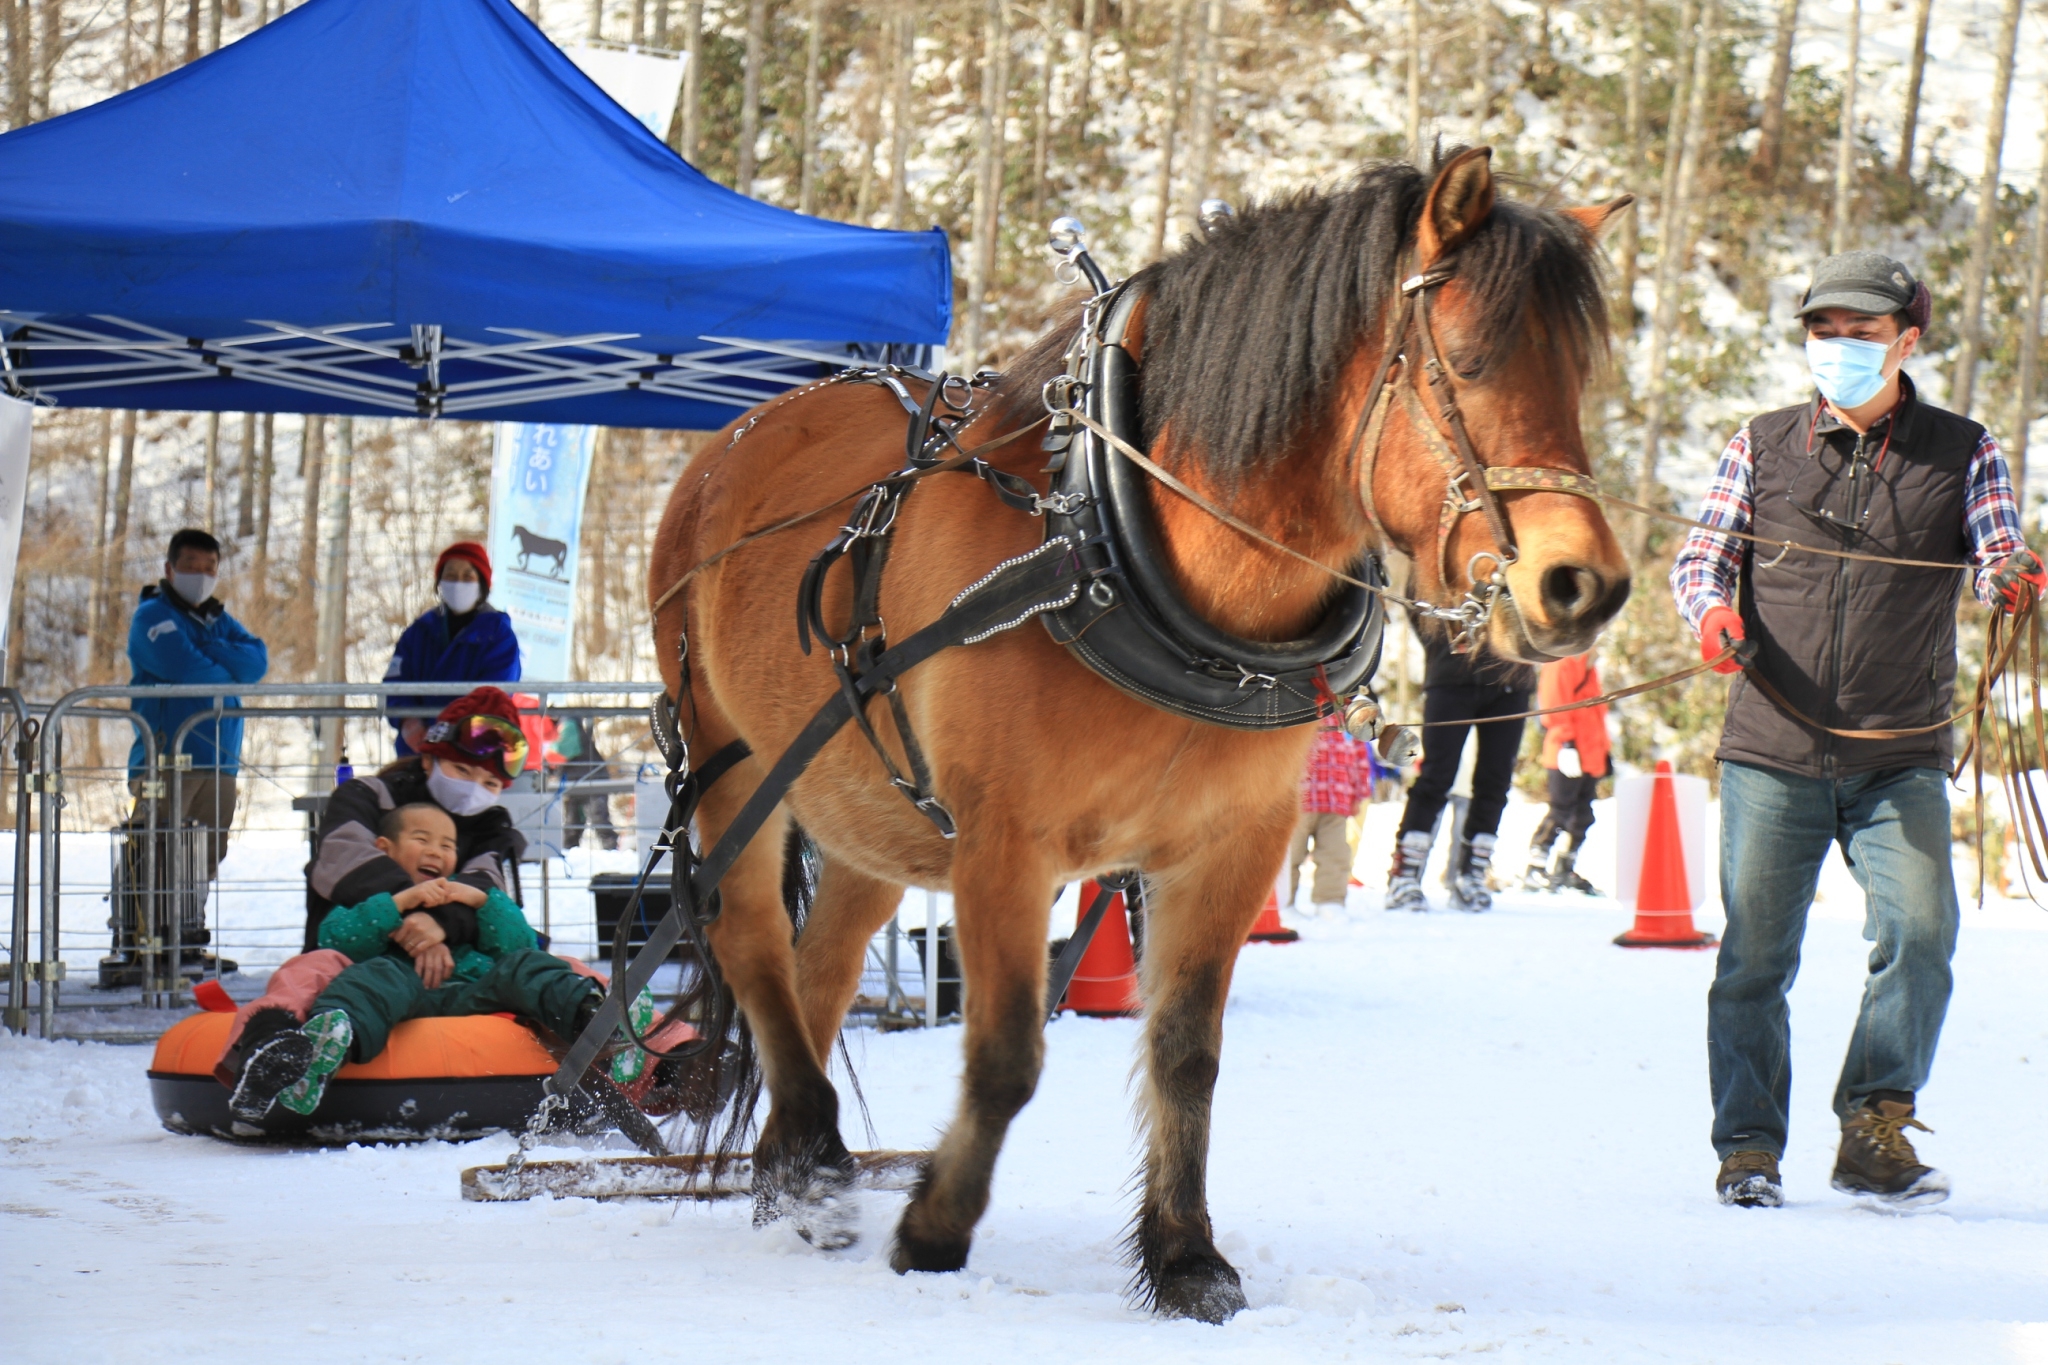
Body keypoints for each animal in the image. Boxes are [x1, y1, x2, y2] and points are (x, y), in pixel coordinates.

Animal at [647, 149, 1638, 1326]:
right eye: (1474, 362)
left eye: (1576, 381)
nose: (1582, 585)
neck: (1117, 548)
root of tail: (735, 443)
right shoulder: (1005, 845)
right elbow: (1007, 1054)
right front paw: (935, 1225)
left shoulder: (1231, 847)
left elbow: (1184, 1051)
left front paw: (1183, 1255)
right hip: (732, 756)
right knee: (753, 935)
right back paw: (805, 1145)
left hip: (867, 806)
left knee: (821, 968)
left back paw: (792, 1173)